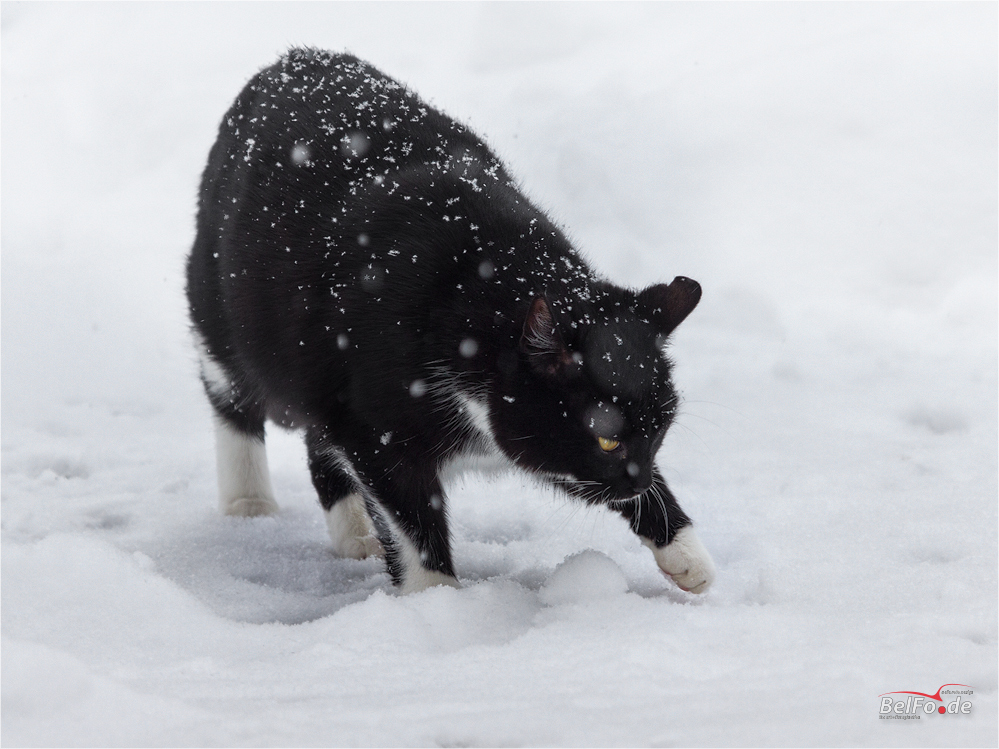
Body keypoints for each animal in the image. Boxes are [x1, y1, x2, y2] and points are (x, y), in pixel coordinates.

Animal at [188, 49, 716, 592]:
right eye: (608, 438)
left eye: (660, 431)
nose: (640, 479)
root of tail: (292, 58)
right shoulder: (380, 433)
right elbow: (412, 520)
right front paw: (437, 600)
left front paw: (683, 549)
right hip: (221, 306)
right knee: (231, 395)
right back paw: (249, 502)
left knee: (319, 435)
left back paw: (355, 533)